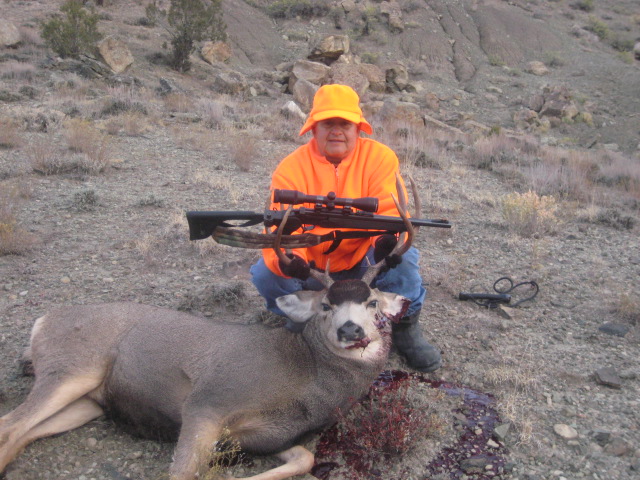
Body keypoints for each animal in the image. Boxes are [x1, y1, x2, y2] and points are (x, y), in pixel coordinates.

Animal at [0, 182, 418, 478]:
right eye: (326, 306)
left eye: (373, 302)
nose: (351, 331)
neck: (307, 380)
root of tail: (42, 321)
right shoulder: (207, 403)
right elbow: (184, 473)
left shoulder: (268, 436)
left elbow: (304, 458)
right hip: (72, 368)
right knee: (11, 424)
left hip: (88, 403)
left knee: (16, 431)